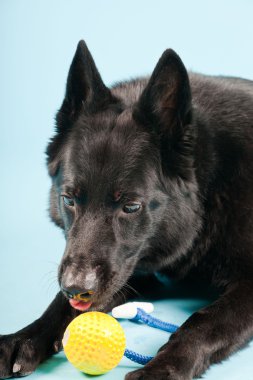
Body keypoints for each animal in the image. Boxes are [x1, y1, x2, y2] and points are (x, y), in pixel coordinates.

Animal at [0, 40, 253, 378]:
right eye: (68, 199)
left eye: (131, 206)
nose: (76, 288)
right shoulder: (128, 269)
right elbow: (59, 303)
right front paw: (25, 336)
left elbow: (203, 322)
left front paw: (164, 367)